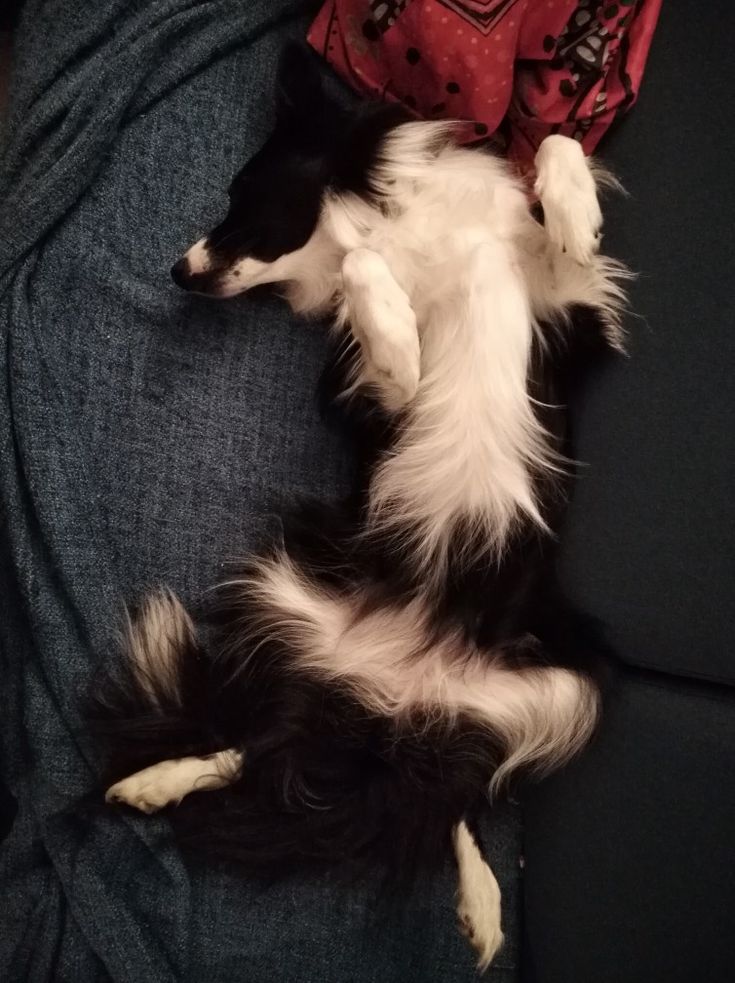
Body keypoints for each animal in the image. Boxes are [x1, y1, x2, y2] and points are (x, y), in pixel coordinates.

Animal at [95, 44, 628, 968]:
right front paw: (392, 314)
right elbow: (371, 294)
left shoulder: (562, 311)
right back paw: (154, 782)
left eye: (240, 192)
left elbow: (559, 146)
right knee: (267, 742)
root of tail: (398, 695)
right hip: (282, 596)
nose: (177, 271)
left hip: (569, 689)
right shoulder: (370, 401)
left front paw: (574, 211)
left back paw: (482, 902)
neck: (391, 223)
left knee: (452, 790)